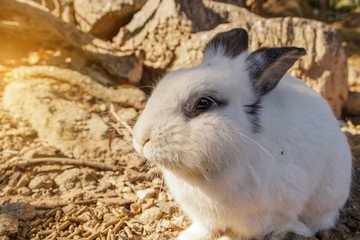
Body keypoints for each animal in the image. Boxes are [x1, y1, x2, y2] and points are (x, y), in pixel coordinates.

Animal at [131, 28, 352, 240]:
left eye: (203, 103)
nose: (141, 139)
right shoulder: (205, 217)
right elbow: (204, 229)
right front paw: (186, 236)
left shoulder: (262, 217)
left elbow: (241, 234)